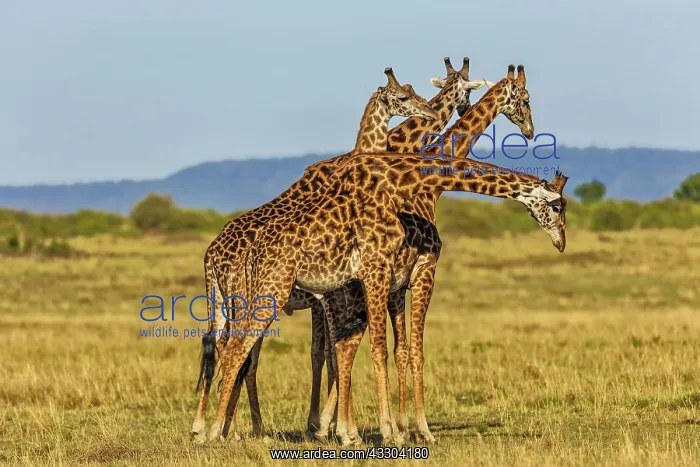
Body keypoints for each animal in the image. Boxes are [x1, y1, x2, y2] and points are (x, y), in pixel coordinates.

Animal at [206, 57, 490, 443]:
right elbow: (347, 352)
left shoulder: (347, 295)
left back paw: (222, 428)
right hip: (254, 297)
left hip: (234, 300)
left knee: (226, 347)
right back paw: (227, 430)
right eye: (404, 95)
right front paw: (357, 430)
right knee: (239, 350)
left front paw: (337, 428)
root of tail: (211, 253)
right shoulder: (354, 291)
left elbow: (341, 353)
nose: (434, 111)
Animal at [210, 143, 568, 446]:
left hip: (259, 294)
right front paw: (394, 433)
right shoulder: (380, 270)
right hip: (272, 289)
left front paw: (370, 431)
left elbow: (374, 350)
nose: (561, 242)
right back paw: (215, 432)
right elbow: (382, 350)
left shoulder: (376, 280)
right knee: (237, 348)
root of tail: (247, 251)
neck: (402, 180)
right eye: (557, 205)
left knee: (234, 347)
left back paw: (226, 430)